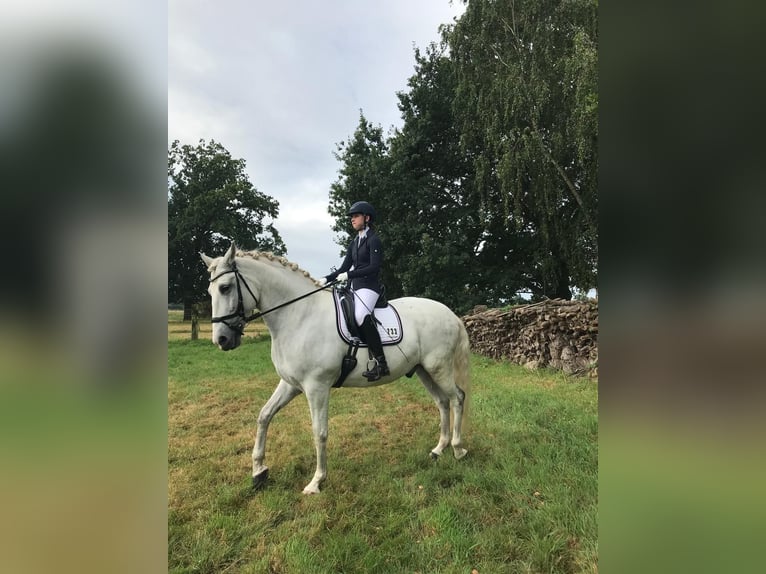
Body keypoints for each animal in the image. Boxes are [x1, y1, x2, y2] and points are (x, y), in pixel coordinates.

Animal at [201, 243, 472, 496]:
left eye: (225, 288)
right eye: (210, 291)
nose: (221, 340)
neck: (299, 316)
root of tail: (450, 313)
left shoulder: (317, 387)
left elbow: (319, 432)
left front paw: (316, 482)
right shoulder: (290, 384)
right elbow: (264, 416)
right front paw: (259, 472)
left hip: (438, 368)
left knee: (457, 398)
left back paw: (458, 449)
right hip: (424, 370)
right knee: (442, 402)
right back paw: (439, 449)